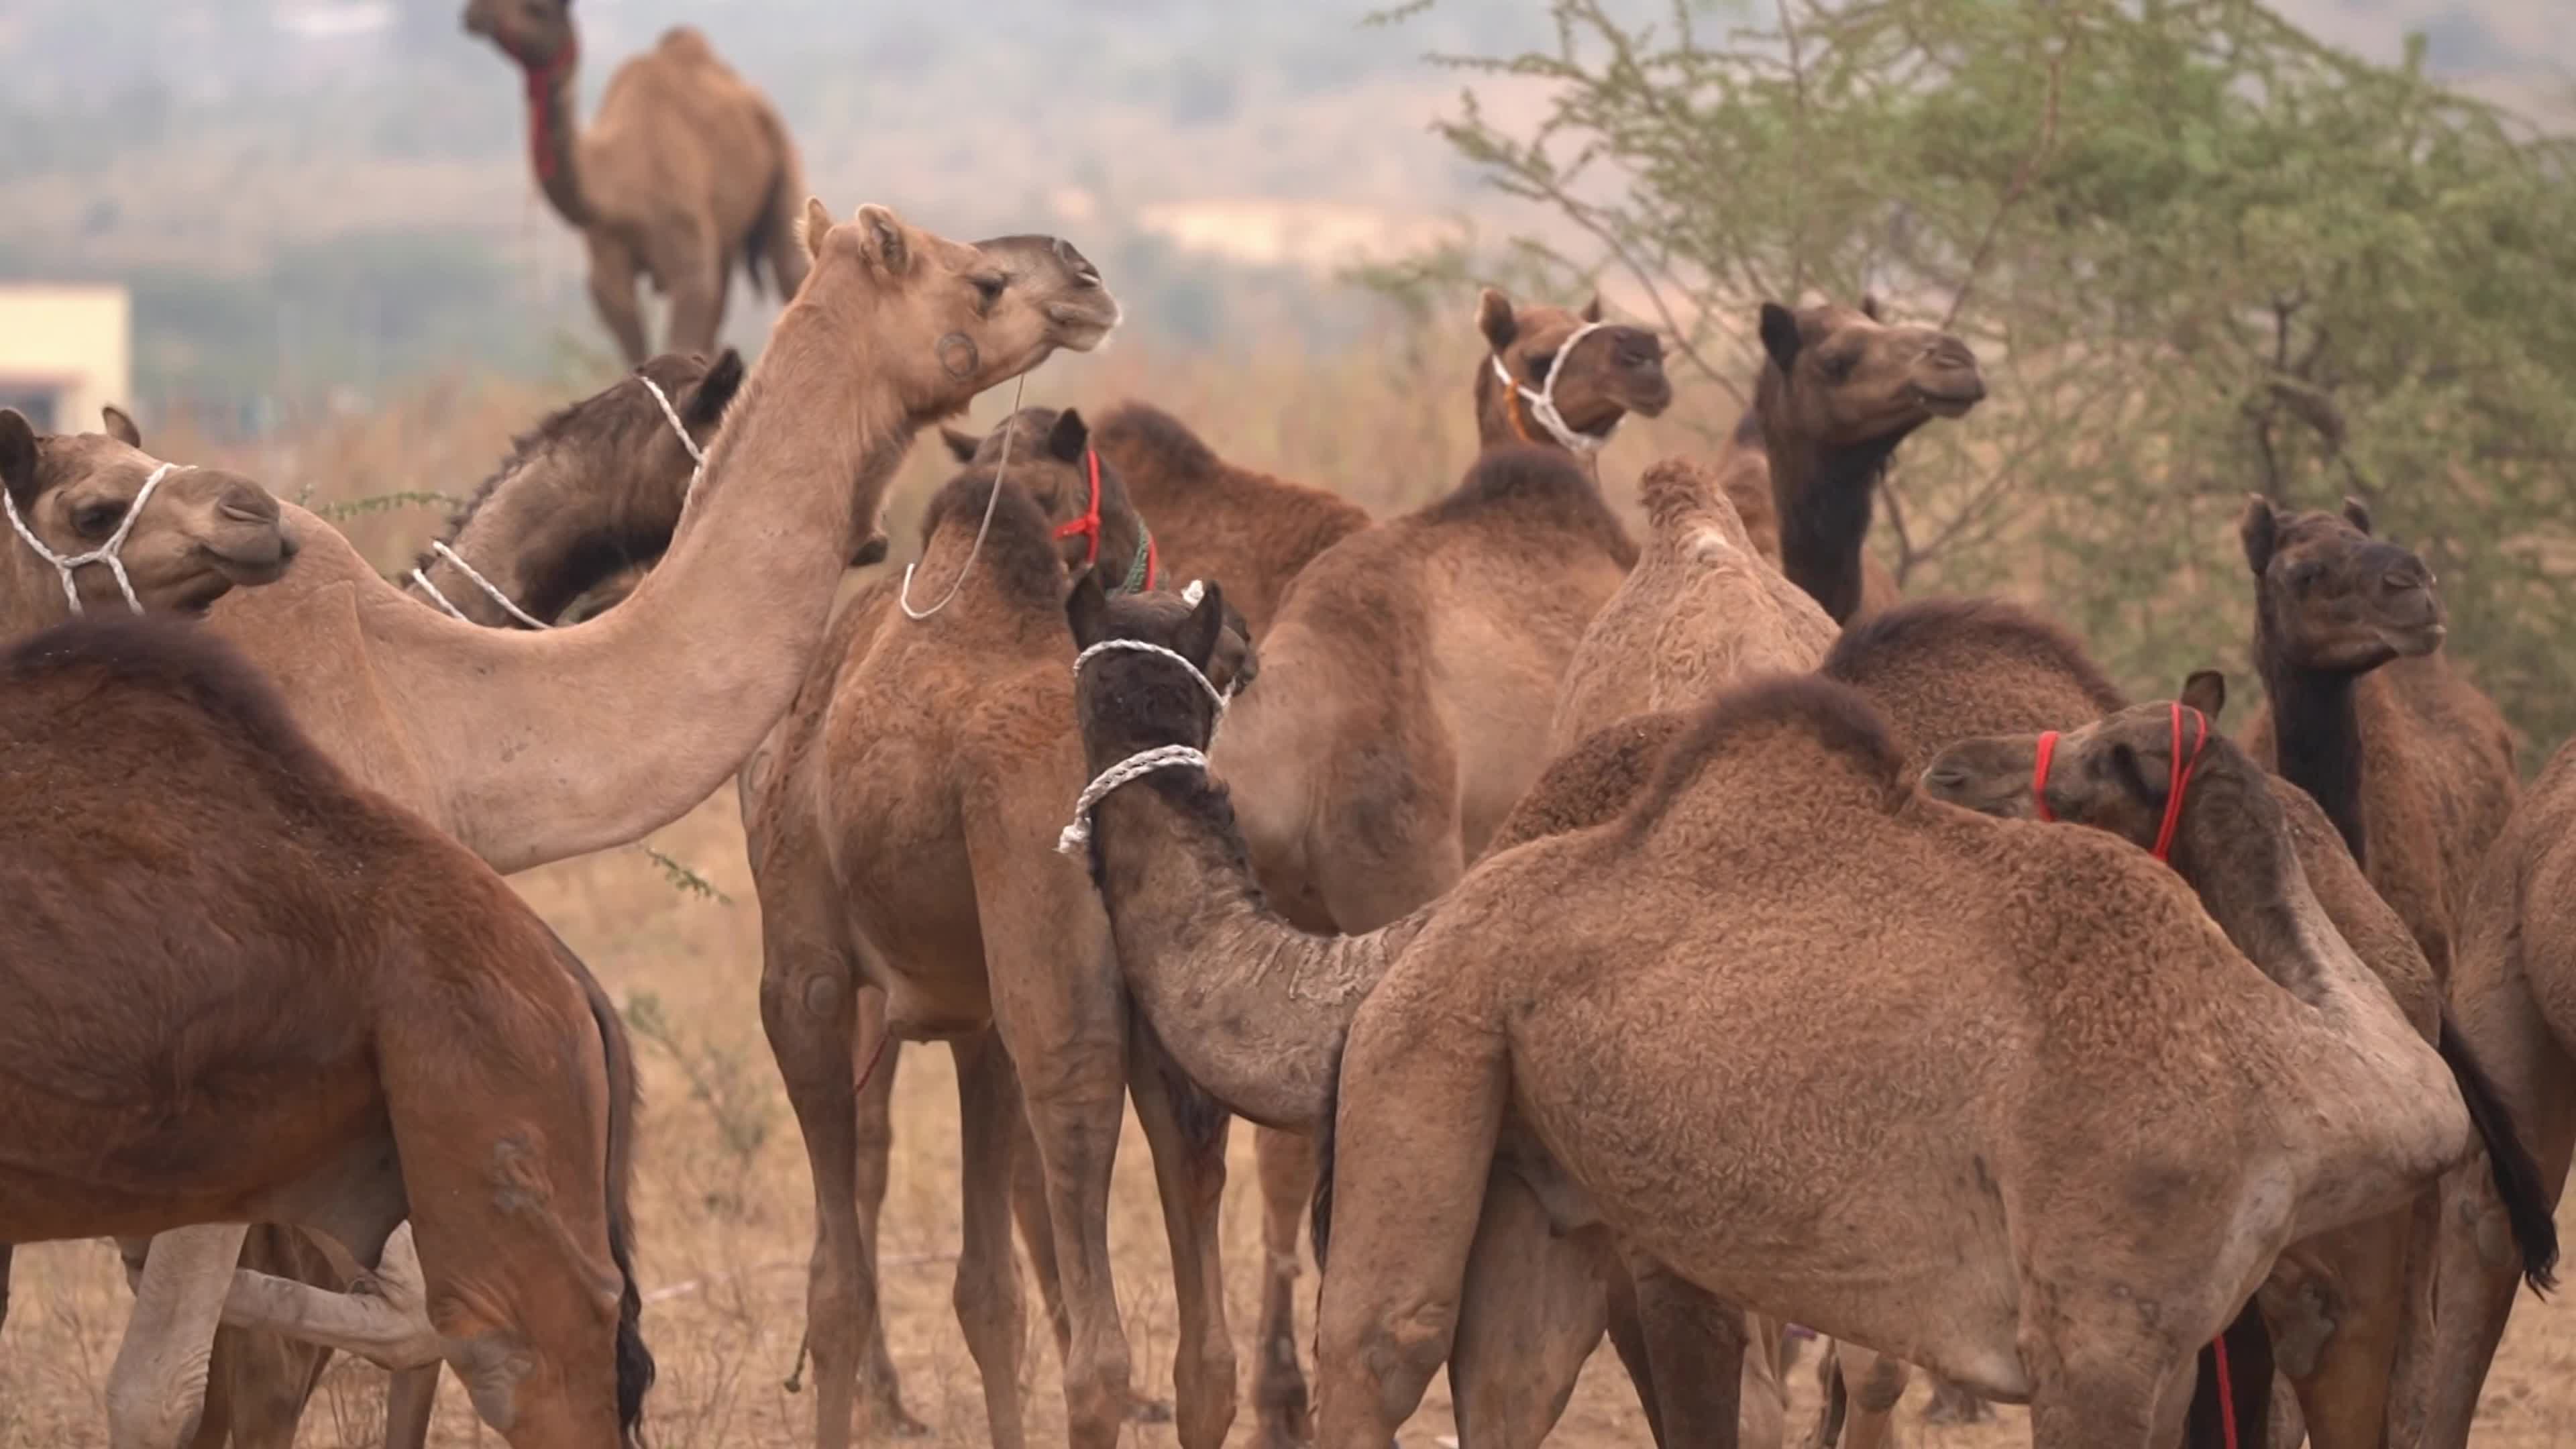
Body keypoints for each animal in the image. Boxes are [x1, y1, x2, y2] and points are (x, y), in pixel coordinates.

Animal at [462, 0, 809, 365]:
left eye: (538, 9)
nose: (475, 13)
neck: (617, 186)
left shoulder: (687, 258)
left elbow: (681, 339)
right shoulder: (606, 262)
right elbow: (634, 348)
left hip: (783, 152)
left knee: (789, 265)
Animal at [738, 407, 1255, 1449]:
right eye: (1118, 504)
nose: (1237, 644)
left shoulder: (804, 979)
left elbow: (836, 1289)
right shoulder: (979, 1017)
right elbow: (988, 1296)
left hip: (1057, 1010)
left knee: (1099, 1358)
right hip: (1173, 1005)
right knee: (1207, 1356)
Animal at [1059, 586, 2476, 1449]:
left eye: (1220, 661)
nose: (1131, 622)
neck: (2297, 1076)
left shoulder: (2115, 1336)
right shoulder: (2107, 1332)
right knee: (1429, 1359)